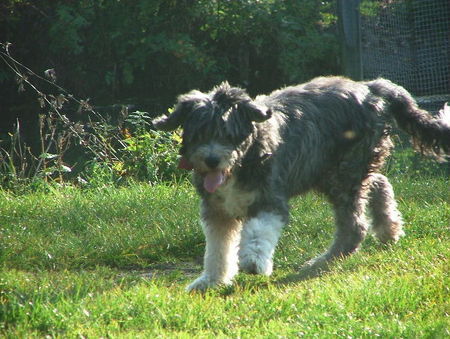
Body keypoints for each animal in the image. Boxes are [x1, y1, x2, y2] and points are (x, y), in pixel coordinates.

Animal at [152, 77, 450, 292]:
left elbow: (258, 232)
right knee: (379, 183)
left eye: (227, 133)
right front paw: (210, 281)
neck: (243, 160)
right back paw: (389, 229)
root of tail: (371, 87)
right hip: (336, 171)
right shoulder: (217, 210)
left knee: (354, 226)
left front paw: (253, 261)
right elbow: (217, 249)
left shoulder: (269, 200)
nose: (212, 160)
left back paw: (322, 262)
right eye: (199, 134)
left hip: (342, 173)